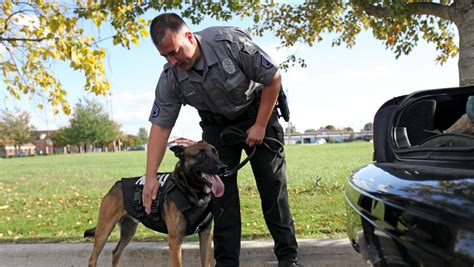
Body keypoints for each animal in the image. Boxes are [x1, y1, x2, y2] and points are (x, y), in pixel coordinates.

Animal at [84, 143, 227, 267]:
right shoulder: (175, 241)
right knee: (92, 258)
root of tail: (117, 184)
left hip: (128, 232)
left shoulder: (205, 236)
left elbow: (206, 263)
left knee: (115, 252)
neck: (191, 192)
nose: (224, 167)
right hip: (104, 231)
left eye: (216, 152)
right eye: (200, 155)